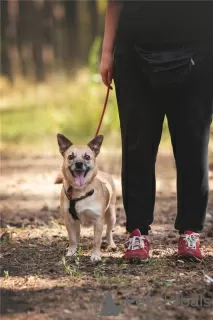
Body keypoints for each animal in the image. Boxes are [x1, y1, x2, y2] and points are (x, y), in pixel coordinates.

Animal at [55, 134, 116, 262]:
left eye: (87, 157)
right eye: (71, 156)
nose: (79, 163)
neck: (81, 190)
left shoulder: (98, 221)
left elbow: (97, 241)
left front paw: (96, 255)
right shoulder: (69, 221)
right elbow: (72, 238)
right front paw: (71, 252)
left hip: (111, 216)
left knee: (108, 232)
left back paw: (112, 245)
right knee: (77, 235)